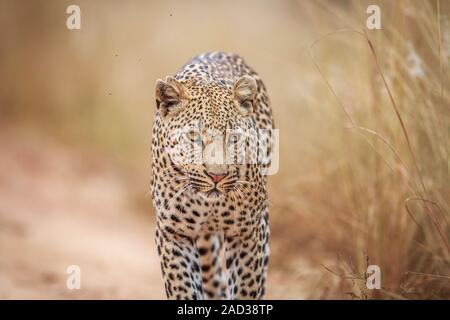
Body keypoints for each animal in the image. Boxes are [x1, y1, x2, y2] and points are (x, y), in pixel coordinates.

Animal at [151, 51, 274, 298]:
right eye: (194, 138)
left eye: (234, 138)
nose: (217, 176)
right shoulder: (173, 233)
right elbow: (182, 286)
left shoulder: (249, 232)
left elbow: (247, 286)